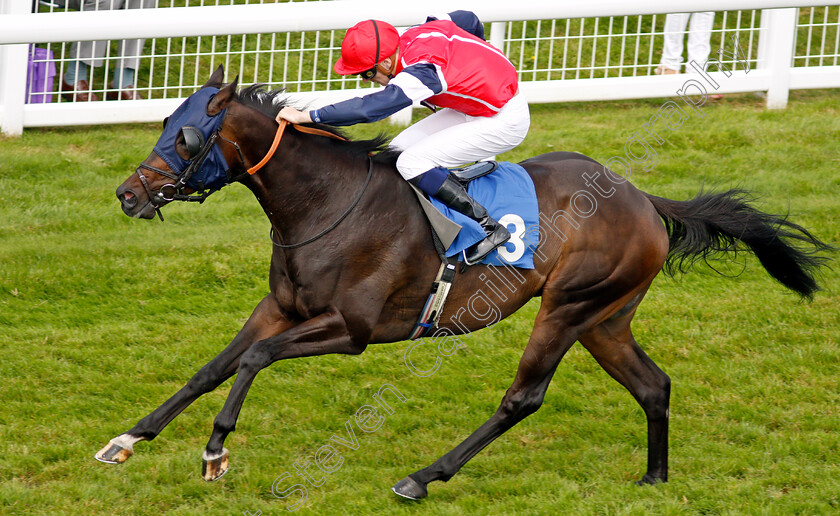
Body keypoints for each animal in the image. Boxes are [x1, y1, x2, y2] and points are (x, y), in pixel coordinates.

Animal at [101, 66, 832, 498]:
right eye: (164, 122)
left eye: (188, 138)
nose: (128, 195)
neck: (323, 202)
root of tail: (644, 198)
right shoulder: (280, 307)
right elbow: (212, 367)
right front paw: (127, 440)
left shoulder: (352, 329)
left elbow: (252, 360)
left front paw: (215, 451)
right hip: (605, 317)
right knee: (653, 384)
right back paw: (655, 477)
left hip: (568, 307)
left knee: (523, 398)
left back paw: (424, 476)